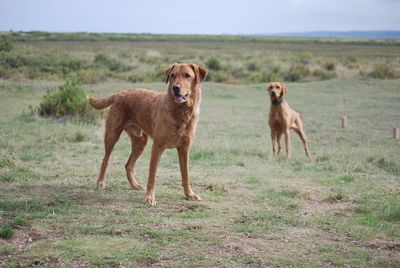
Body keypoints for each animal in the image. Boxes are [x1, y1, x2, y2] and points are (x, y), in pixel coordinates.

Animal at [86, 63, 206, 205]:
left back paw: (134, 185)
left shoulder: (184, 149)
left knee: (128, 165)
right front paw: (149, 197)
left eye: (187, 75)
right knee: (105, 160)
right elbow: (152, 176)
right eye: (172, 75)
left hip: (140, 142)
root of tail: (121, 93)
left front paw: (190, 194)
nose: (175, 88)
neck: (180, 112)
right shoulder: (157, 147)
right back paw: (100, 182)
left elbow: (185, 175)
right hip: (112, 136)